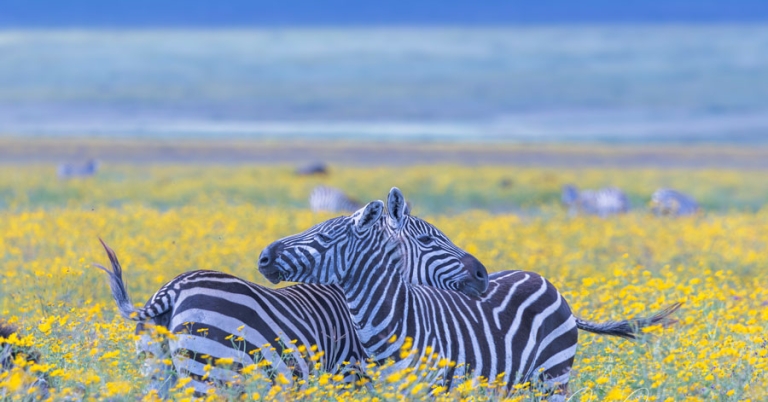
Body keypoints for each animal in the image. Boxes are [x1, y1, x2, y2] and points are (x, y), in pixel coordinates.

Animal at [95, 208, 488, 396]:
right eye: (428, 240)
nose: (483, 274)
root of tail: (173, 290)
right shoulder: (349, 375)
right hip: (209, 374)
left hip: (157, 372)